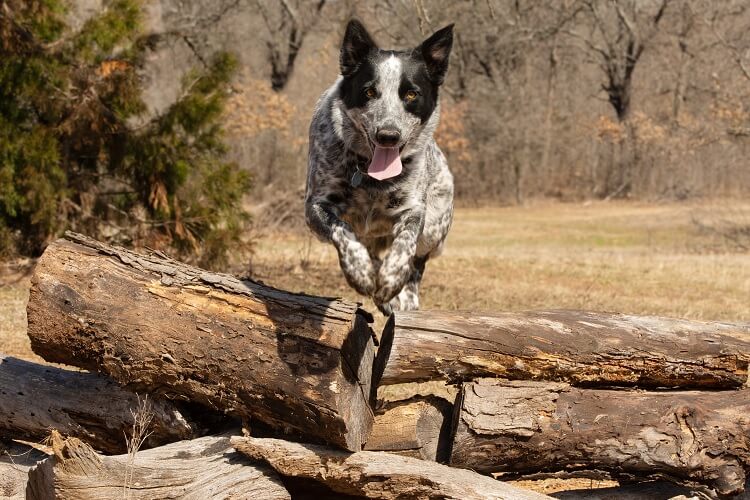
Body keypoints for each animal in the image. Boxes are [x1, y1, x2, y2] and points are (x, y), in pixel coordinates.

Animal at [302, 20, 456, 316]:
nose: (388, 135)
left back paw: (403, 296)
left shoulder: (413, 210)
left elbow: (405, 244)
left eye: (411, 94)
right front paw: (360, 271)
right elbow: (343, 230)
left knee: (418, 262)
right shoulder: (316, 206)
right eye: (370, 92)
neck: (370, 178)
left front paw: (392, 279)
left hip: (434, 227)